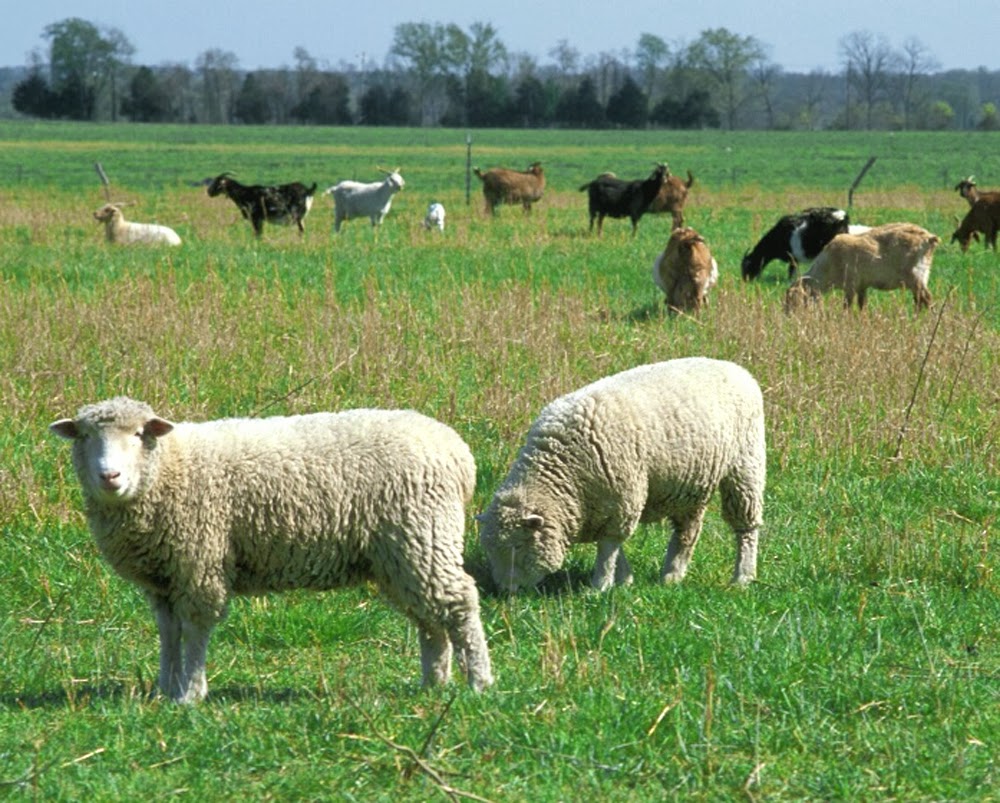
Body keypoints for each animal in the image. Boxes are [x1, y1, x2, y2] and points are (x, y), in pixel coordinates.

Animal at [50, 397, 493, 702]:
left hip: (423, 536)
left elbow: (194, 629)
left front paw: (190, 693)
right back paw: (433, 682)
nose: (110, 476)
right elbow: (169, 632)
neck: (170, 469)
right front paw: (165, 689)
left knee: (459, 604)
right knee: (430, 619)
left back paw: (479, 682)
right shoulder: (164, 579)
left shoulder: (199, 563)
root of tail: (457, 451)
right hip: (401, 556)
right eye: (85, 437)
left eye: (140, 435)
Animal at [477, 358, 766, 593]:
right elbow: (614, 548)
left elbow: (609, 548)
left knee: (746, 528)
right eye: (489, 549)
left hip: (746, 466)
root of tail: (734, 367)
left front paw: (600, 587)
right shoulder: (605, 506)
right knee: (688, 530)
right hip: (692, 482)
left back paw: (742, 576)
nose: (505, 591)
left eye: (517, 546)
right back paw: (672, 575)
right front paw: (624, 580)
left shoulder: (623, 499)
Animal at [784, 222, 939, 311]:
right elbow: (862, 307)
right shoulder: (861, 286)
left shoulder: (850, 285)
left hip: (915, 276)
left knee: (927, 299)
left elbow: (846, 307)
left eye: (793, 300)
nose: (789, 320)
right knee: (919, 301)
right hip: (921, 277)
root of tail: (929, 238)